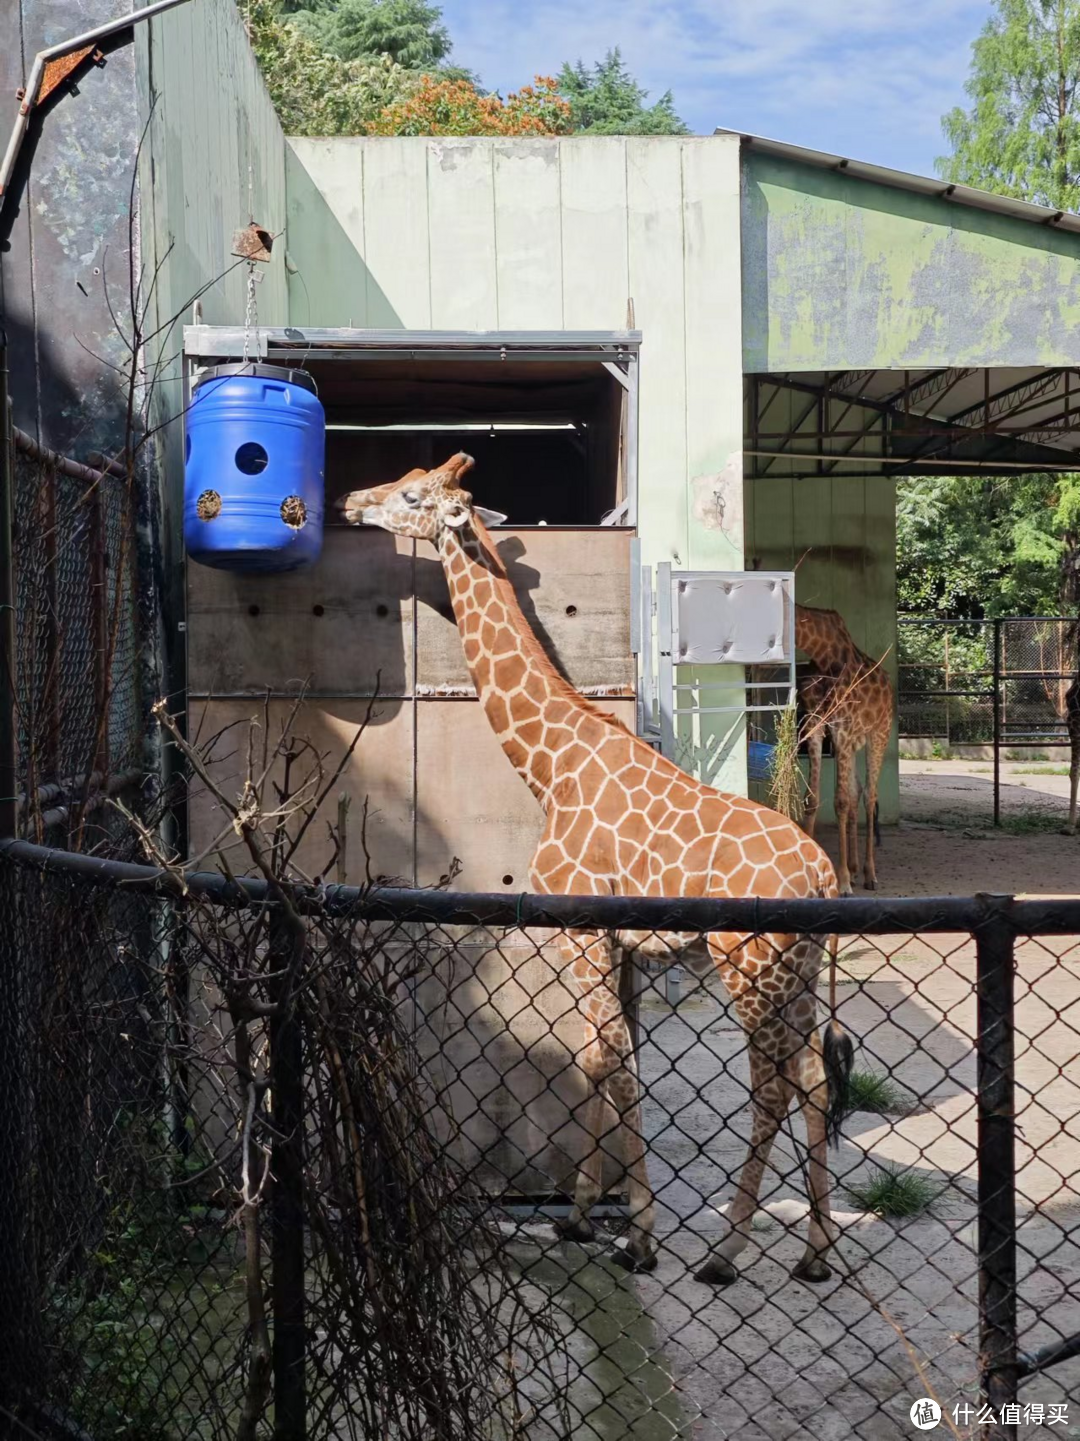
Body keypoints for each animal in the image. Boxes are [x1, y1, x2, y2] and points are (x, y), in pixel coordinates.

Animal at [341, 452, 853, 1285]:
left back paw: (726, 1252)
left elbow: (614, 1059)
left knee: (772, 1087)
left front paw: (637, 1236)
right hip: (798, 974)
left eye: (412, 494)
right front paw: (583, 1214)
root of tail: (824, 876)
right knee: (810, 1077)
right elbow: (599, 1057)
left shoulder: (582, 930)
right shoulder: (616, 943)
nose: (353, 500)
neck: (552, 767)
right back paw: (813, 1251)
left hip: (749, 968)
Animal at [790, 602, 893, 893]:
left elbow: (840, 801)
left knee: (869, 794)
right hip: (853, 741)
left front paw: (844, 880)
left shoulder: (842, 728)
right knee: (857, 790)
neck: (824, 654)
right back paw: (857, 869)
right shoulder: (815, 727)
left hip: (879, 732)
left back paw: (869, 874)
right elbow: (812, 798)